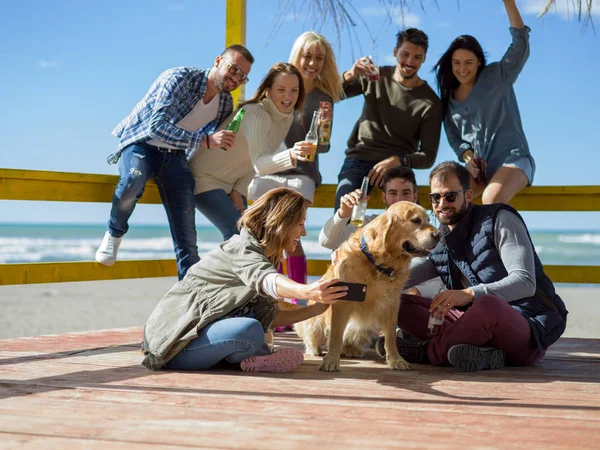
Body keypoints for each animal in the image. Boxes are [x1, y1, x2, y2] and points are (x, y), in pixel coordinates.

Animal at [296, 202, 440, 370]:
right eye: (415, 220)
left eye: (428, 220)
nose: (439, 235)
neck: (379, 264)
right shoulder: (342, 302)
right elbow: (335, 336)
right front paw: (331, 360)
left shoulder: (391, 305)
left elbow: (391, 337)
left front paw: (396, 360)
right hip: (315, 320)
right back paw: (314, 348)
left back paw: (351, 348)